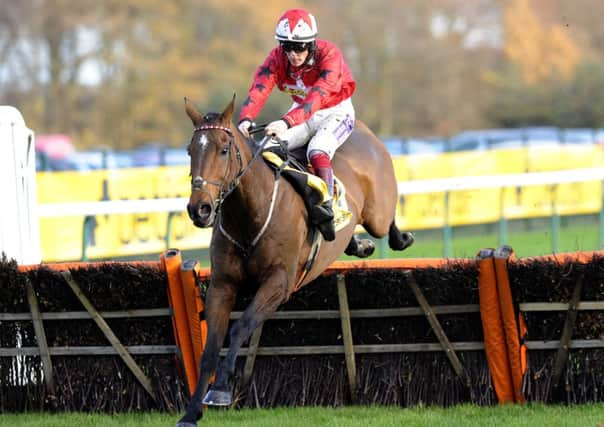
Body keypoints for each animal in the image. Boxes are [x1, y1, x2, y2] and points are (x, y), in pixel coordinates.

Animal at [173, 97, 410, 427]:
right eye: (190, 150)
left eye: (223, 148)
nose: (200, 209)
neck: (250, 216)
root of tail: (363, 129)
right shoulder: (223, 284)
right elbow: (210, 348)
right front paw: (192, 412)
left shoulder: (279, 284)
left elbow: (240, 327)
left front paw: (219, 390)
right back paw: (355, 242)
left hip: (376, 211)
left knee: (385, 221)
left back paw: (399, 237)